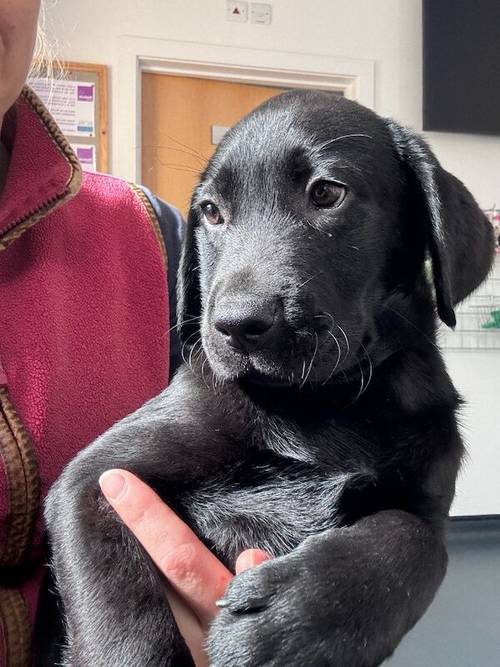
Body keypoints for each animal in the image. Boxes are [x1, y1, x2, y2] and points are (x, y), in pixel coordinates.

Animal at [45, 90, 494, 667]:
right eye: (211, 213)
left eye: (327, 192)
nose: (238, 324)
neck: (323, 400)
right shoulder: (96, 481)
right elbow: (122, 624)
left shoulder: (428, 506)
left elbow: (412, 542)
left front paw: (289, 623)